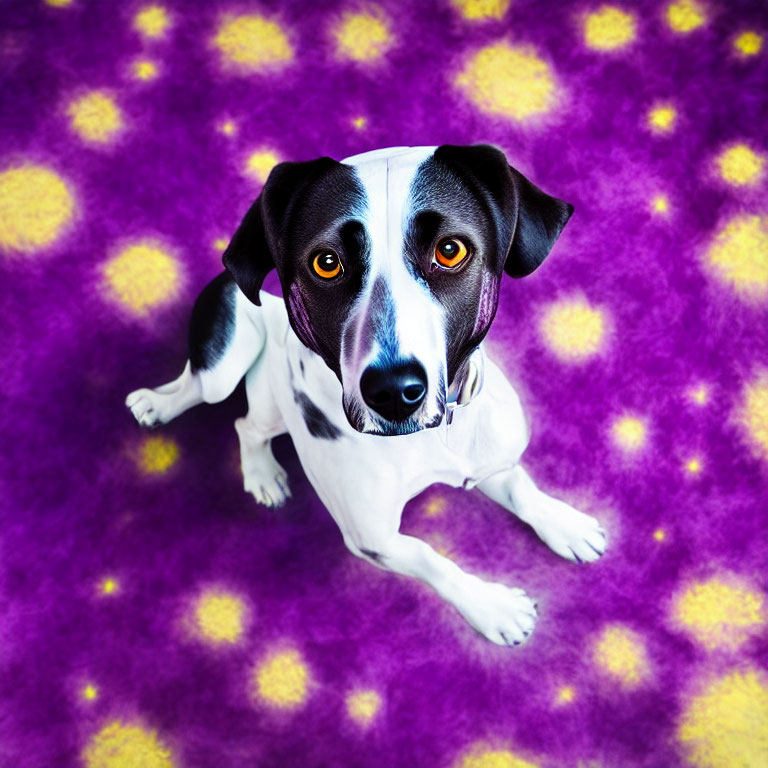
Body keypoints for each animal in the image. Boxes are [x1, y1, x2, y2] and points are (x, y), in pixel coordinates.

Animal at [124, 146, 608, 648]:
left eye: (450, 250)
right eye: (326, 262)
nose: (395, 392)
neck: (430, 439)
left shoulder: (488, 459)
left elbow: (520, 487)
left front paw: (563, 523)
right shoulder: (374, 539)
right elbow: (436, 562)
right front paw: (492, 607)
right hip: (229, 362)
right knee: (227, 410)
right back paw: (189, 424)